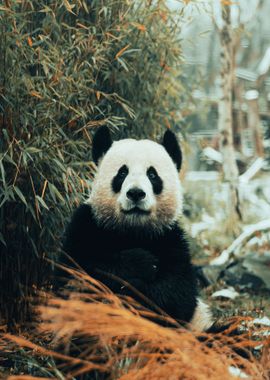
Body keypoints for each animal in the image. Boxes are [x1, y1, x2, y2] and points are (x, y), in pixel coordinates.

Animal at [62, 126, 212, 332]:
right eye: (122, 173)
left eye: (152, 175)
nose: (135, 193)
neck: (133, 230)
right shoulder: (87, 225)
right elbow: (77, 274)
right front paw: (142, 262)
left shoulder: (170, 239)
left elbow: (178, 294)